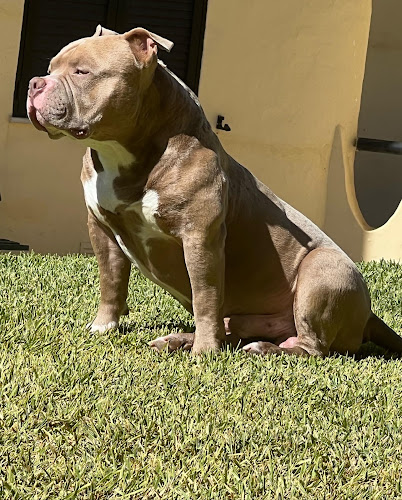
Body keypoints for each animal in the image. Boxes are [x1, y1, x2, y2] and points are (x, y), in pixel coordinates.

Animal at [27, 26, 402, 356]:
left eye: (82, 71)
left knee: (312, 347)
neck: (126, 155)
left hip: (322, 271)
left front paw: (205, 352)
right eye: (50, 68)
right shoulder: (102, 229)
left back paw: (261, 349)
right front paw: (103, 327)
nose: (34, 83)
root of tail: (369, 315)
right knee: (234, 328)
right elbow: (112, 282)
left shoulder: (200, 237)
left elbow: (205, 296)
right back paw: (179, 340)